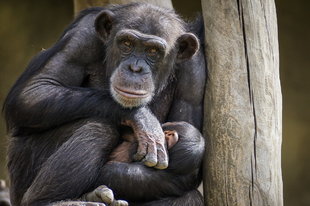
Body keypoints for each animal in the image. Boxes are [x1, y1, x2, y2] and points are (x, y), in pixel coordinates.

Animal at [3, 3, 206, 206]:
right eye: (127, 44)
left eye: (153, 51)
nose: (135, 68)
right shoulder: (82, 37)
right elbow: (34, 91)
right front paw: (143, 118)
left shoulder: (195, 74)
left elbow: (186, 172)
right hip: (21, 172)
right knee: (100, 129)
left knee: (189, 197)